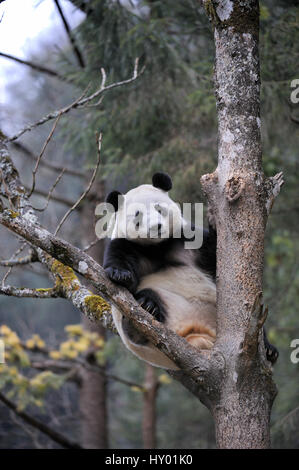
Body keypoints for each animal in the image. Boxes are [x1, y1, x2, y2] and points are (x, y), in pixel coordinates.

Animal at [103, 171, 278, 370]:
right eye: (137, 215)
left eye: (159, 209)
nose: (156, 227)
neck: (157, 247)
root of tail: (199, 336)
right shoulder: (127, 244)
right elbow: (121, 267)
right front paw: (120, 275)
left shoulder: (186, 239)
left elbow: (215, 255)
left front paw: (214, 218)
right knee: (138, 319)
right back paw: (146, 309)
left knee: (257, 327)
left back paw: (269, 350)